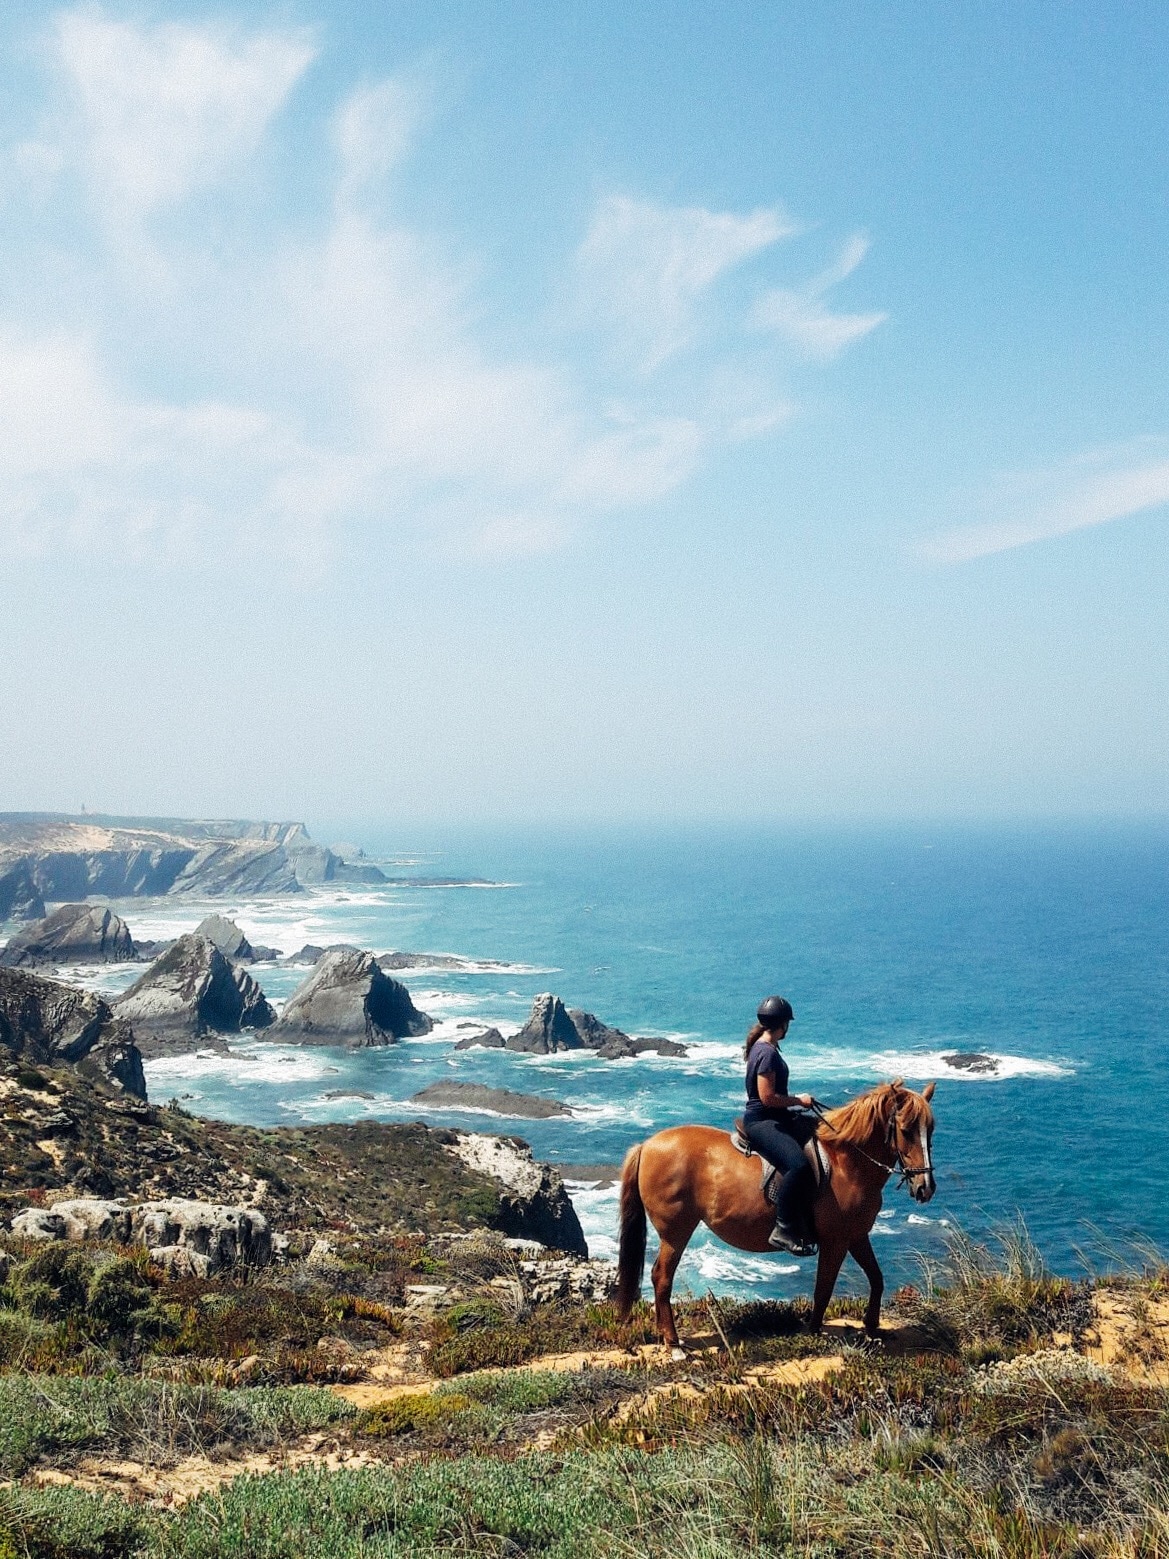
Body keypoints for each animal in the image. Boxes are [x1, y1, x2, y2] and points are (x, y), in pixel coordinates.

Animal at [617, 1078, 941, 1346]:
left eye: (931, 1131)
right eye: (905, 1130)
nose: (925, 1188)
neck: (846, 1163)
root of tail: (646, 1145)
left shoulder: (857, 1235)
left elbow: (877, 1278)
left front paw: (872, 1325)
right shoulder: (835, 1241)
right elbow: (824, 1287)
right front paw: (812, 1330)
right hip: (676, 1231)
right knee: (661, 1277)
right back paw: (673, 1343)